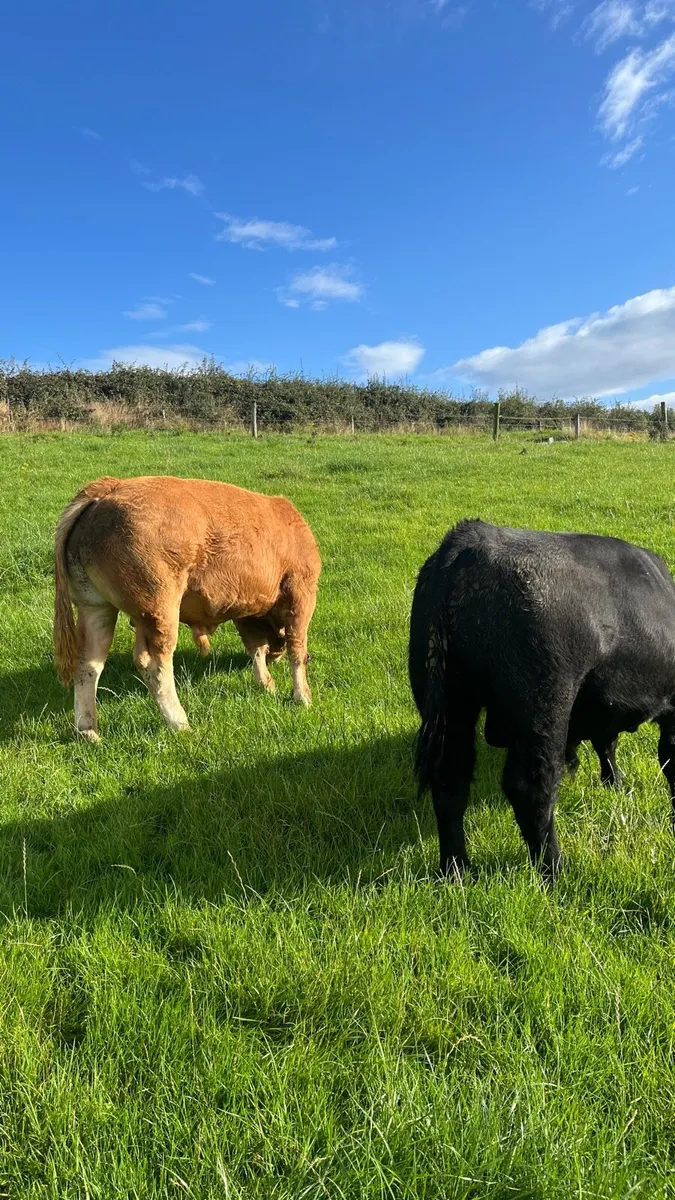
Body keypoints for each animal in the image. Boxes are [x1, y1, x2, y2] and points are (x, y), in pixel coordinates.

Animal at [53, 475, 321, 740]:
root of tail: (108, 488)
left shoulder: (245, 611)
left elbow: (255, 647)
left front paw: (266, 683)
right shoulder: (301, 591)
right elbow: (297, 648)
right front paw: (302, 697)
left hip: (96, 607)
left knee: (88, 663)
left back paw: (87, 731)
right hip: (161, 610)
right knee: (154, 664)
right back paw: (180, 723)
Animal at [409, 518, 675, 881]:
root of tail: (471, 539)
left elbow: (607, 744)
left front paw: (614, 782)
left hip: (454, 706)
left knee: (451, 782)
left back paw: (457, 870)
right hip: (544, 706)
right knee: (531, 788)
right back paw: (554, 871)